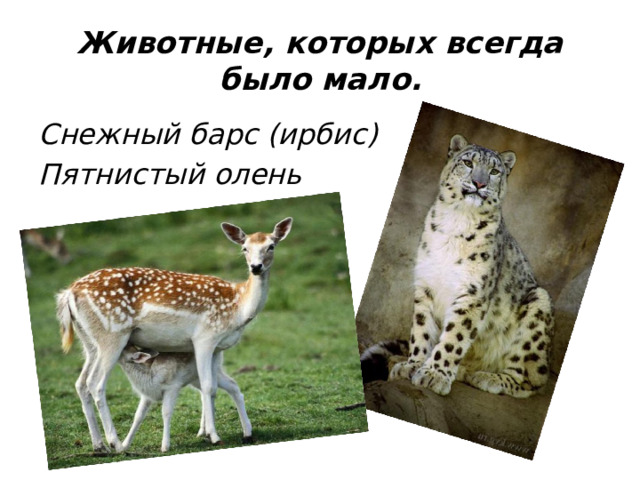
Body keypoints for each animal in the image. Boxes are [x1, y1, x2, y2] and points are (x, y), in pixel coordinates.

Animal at [117, 344, 252, 452]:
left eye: (123, 347)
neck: (149, 377)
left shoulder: (172, 387)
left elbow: (166, 412)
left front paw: (165, 446)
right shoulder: (147, 395)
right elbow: (138, 416)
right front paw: (124, 445)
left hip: (213, 369)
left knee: (231, 386)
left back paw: (246, 432)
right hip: (196, 378)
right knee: (208, 393)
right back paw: (202, 431)